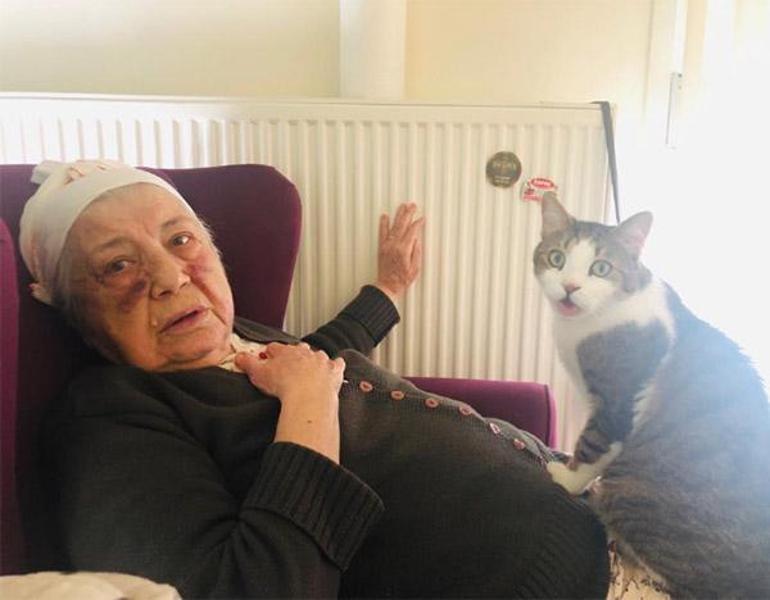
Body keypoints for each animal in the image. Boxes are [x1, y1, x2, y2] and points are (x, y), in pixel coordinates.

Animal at [533, 192, 770, 598]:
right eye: (557, 258)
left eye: (600, 268)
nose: (570, 287)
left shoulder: (617, 399)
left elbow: (594, 445)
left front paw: (568, 478)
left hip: (635, 495)